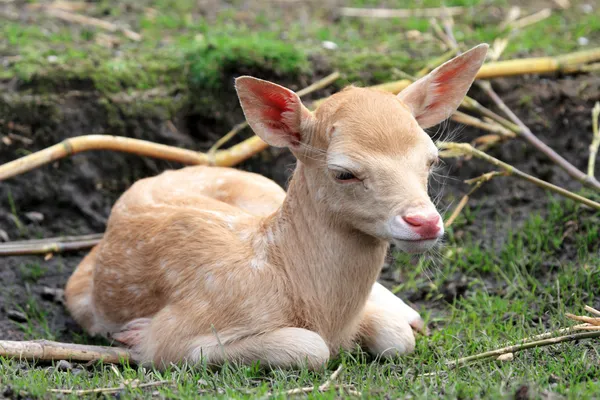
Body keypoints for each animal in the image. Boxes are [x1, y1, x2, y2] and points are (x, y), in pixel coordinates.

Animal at [64, 43, 488, 368]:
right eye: (344, 173)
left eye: (431, 159)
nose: (424, 222)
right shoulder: (178, 334)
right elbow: (309, 348)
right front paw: (135, 335)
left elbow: (397, 338)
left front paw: (400, 321)